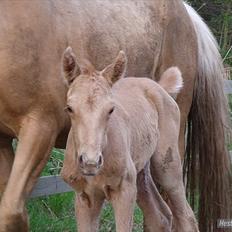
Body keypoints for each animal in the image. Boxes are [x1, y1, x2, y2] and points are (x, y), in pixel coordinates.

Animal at [60, 47, 198, 232]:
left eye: (111, 109)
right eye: (69, 108)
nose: (90, 162)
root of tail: (159, 86)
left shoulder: (124, 191)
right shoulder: (85, 196)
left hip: (166, 164)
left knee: (186, 215)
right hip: (140, 171)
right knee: (160, 216)